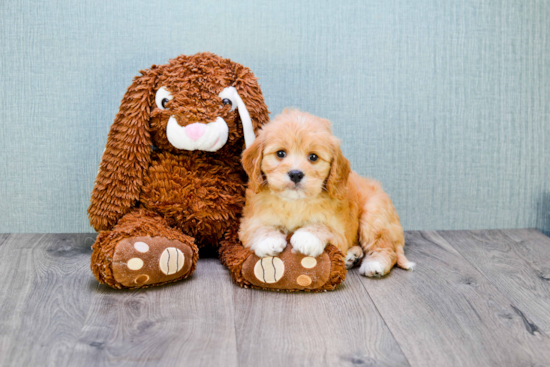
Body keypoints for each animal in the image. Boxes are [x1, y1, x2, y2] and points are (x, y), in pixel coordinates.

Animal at [239, 110, 416, 278]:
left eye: (313, 157)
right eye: (280, 153)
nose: (295, 174)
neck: (294, 203)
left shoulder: (338, 231)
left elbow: (322, 226)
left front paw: (306, 237)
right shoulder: (249, 221)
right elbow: (259, 227)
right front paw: (269, 240)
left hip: (374, 216)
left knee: (386, 248)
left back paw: (375, 264)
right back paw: (352, 256)